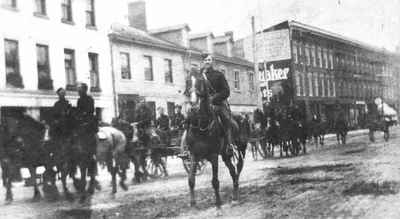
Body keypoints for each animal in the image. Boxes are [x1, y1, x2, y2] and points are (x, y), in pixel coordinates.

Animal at [184, 69, 247, 210]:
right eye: (187, 81)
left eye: (201, 81)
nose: (193, 106)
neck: (202, 125)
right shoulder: (194, 155)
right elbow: (191, 180)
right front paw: (192, 203)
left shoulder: (213, 156)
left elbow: (215, 181)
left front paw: (218, 204)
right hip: (225, 155)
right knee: (233, 171)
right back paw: (234, 196)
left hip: (240, 149)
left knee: (238, 168)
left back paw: (235, 196)